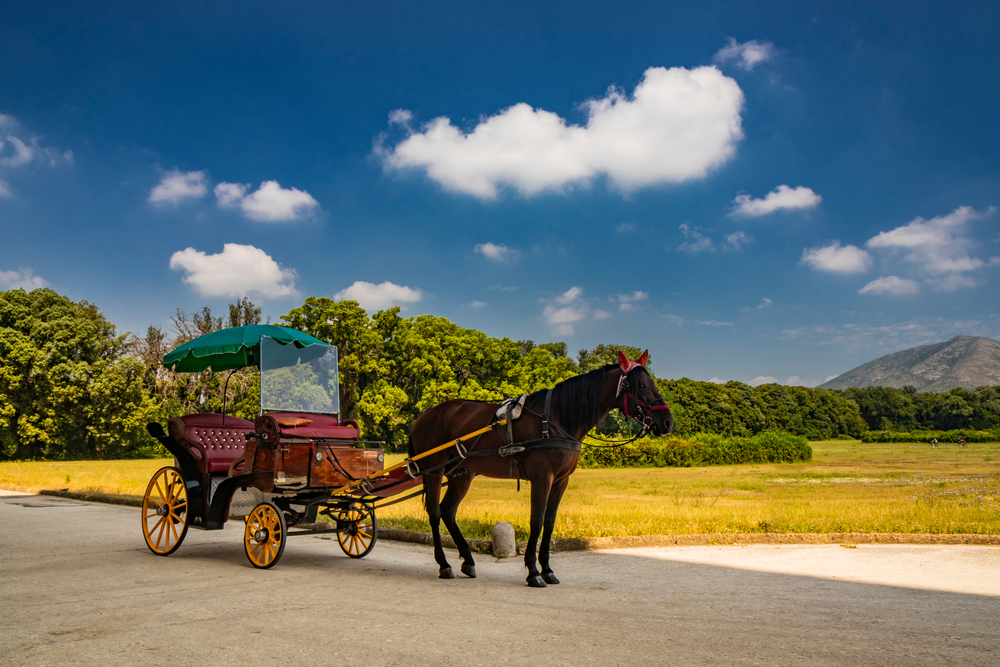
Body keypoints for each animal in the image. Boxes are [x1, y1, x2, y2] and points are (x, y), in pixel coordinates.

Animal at [410, 352, 676, 588]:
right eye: (641, 385)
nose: (667, 422)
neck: (556, 418)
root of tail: (424, 415)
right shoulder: (542, 478)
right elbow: (536, 521)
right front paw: (533, 571)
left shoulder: (560, 481)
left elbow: (549, 523)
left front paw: (547, 569)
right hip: (433, 472)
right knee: (434, 512)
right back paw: (444, 564)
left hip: (463, 474)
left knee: (448, 511)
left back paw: (467, 559)